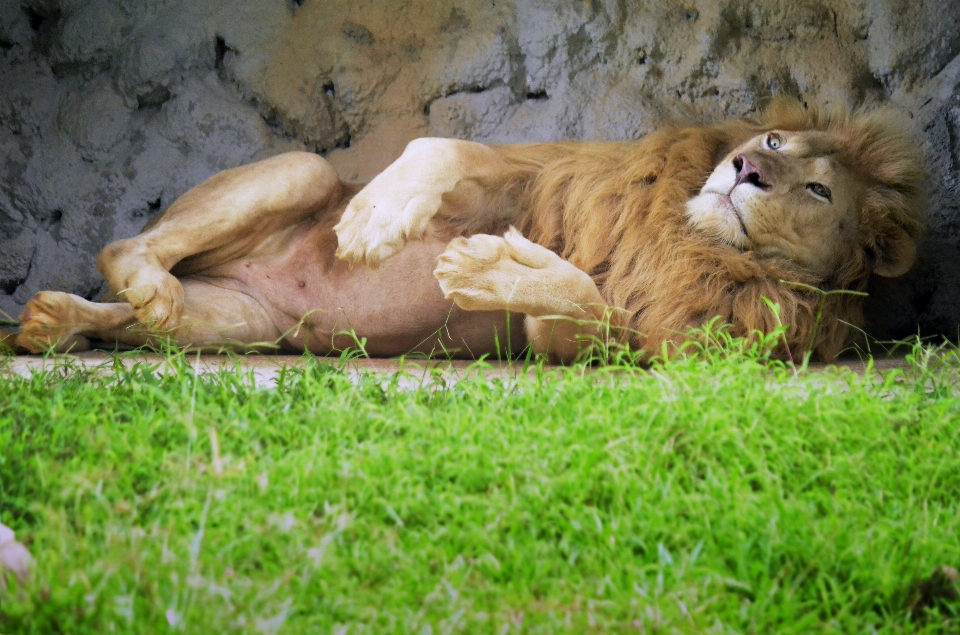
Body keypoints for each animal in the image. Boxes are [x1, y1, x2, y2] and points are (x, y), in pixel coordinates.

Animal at [3, 97, 928, 360]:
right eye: (770, 140)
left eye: (817, 188)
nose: (743, 168)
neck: (692, 236)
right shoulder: (536, 174)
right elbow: (445, 147)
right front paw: (378, 217)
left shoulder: (635, 335)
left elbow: (587, 300)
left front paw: (488, 271)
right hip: (304, 169)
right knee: (123, 248)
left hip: (245, 325)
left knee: (153, 309)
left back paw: (66, 319)